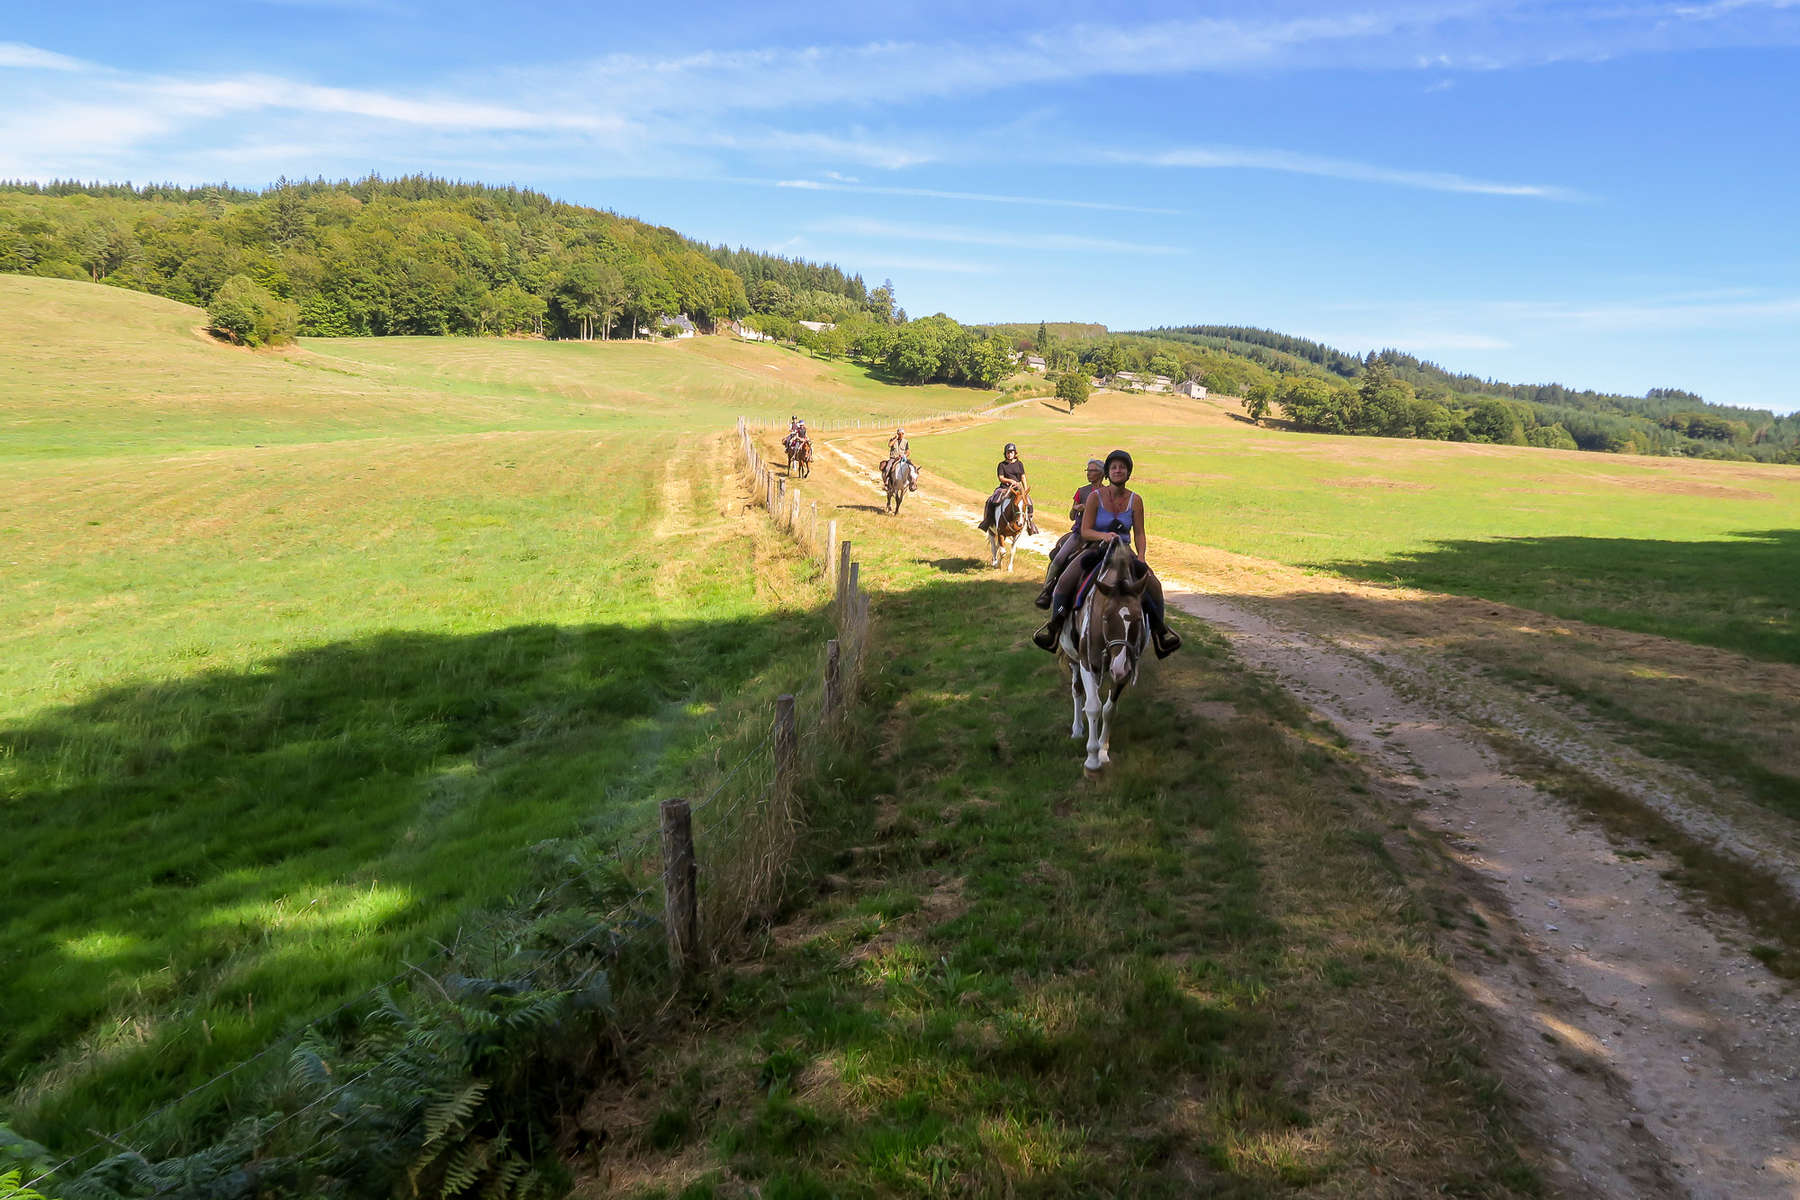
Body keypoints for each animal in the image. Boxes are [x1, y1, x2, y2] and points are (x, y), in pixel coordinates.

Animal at [1051, 543, 1152, 773]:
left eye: (1138, 618)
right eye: (1106, 618)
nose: (1119, 667)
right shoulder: (1087, 663)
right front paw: (1092, 759)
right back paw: (1078, 729)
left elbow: (1108, 709)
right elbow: (1093, 707)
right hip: (1074, 659)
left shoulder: (1124, 670)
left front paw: (1103, 752)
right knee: (1078, 691)